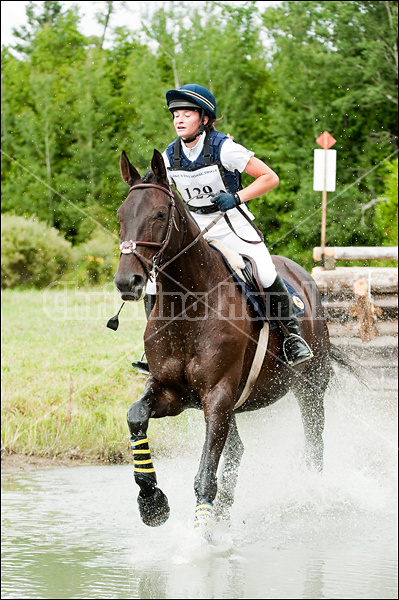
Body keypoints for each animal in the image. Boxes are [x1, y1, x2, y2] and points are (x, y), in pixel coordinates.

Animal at [113, 150, 346, 528]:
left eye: (159, 214)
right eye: (121, 215)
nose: (126, 281)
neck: (189, 307)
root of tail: (303, 274)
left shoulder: (218, 395)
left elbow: (206, 474)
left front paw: (202, 535)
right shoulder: (173, 393)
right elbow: (136, 416)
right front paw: (151, 501)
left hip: (310, 387)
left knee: (314, 442)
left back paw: (313, 496)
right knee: (238, 450)